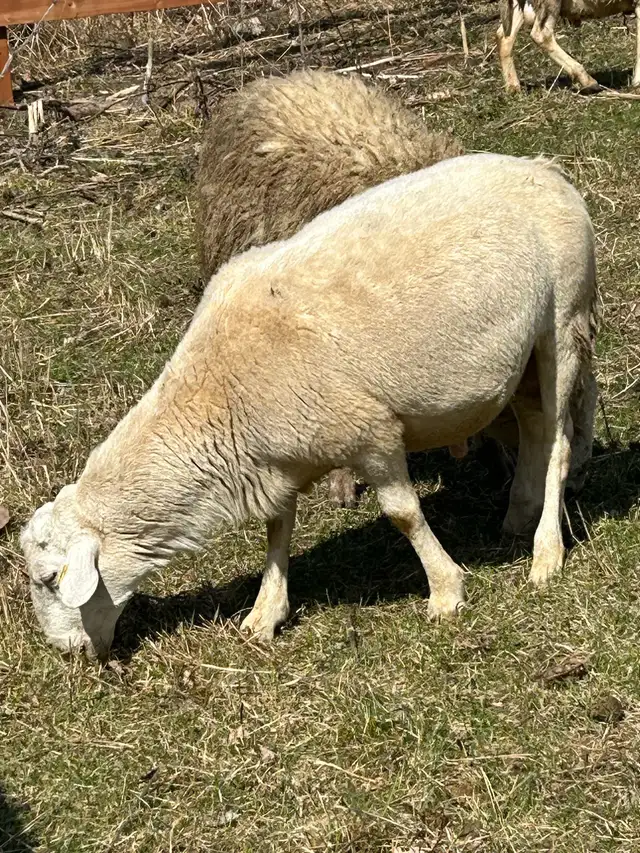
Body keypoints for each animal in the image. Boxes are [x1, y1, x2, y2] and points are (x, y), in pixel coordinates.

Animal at [21, 152, 597, 660]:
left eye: (50, 579)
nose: (67, 652)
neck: (217, 398)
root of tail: (544, 169)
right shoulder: (280, 459)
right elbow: (276, 530)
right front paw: (265, 614)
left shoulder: (371, 434)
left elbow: (403, 515)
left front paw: (446, 591)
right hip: (521, 355)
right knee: (536, 426)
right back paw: (518, 516)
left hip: (564, 320)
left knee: (560, 443)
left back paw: (546, 554)